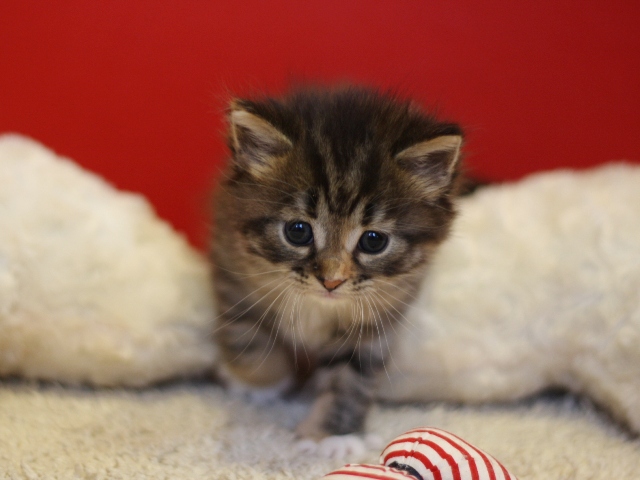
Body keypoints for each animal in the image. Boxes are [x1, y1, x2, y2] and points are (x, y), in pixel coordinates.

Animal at [212, 85, 462, 446]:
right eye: (297, 231)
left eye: (373, 241)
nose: (331, 281)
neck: (317, 307)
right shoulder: (231, 267)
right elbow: (244, 334)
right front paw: (258, 384)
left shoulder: (379, 315)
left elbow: (351, 377)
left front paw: (329, 437)